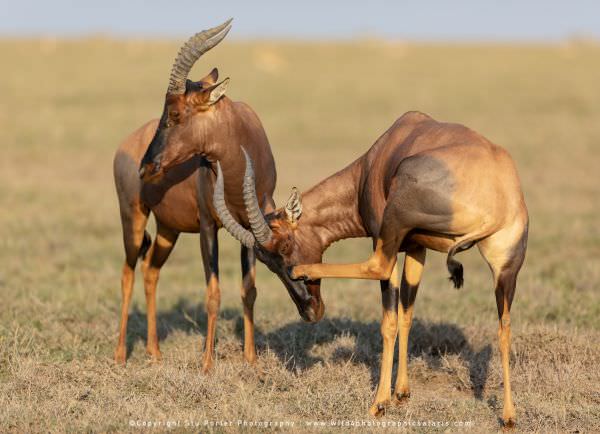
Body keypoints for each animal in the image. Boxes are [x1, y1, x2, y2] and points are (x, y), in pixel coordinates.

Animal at [113, 19, 308, 372]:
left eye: (176, 114)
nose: (146, 167)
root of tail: (127, 143)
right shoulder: (207, 226)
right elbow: (213, 293)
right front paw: (206, 364)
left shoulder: (251, 226)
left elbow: (249, 289)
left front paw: (251, 359)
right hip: (133, 217)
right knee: (127, 272)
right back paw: (121, 354)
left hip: (168, 230)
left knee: (150, 271)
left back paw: (154, 351)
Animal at [213, 110, 528, 426]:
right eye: (266, 262)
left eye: (285, 245)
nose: (310, 310)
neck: (375, 159)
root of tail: (497, 203)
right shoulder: (417, 248)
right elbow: (407, 313)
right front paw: (402, 393)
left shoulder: (385, 238)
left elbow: (390, 320)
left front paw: (383, 401)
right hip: (506, 270)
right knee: (504, 327)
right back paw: (509, 416)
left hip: (393, 224)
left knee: (377, 267)